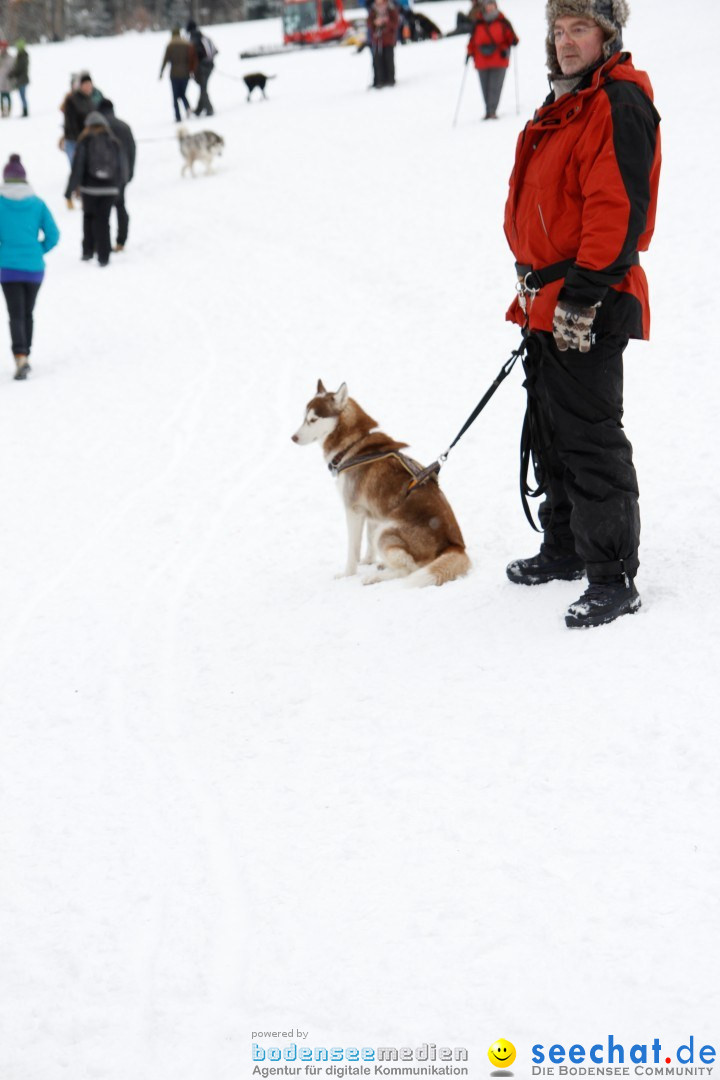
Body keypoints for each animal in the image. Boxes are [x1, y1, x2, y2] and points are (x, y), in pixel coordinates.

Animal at [293, 378, 472, 587]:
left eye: (313, 420)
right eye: (304, 418)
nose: (293, 437)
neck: (353, 445)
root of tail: (455, 546)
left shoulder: (353, 510)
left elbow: (352, 550)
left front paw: (347, 574)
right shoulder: (372, 512)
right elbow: (368, 543)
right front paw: (368, 561)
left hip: (386, 530)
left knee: (407, 571)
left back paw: (375, 577)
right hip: (384, 525)